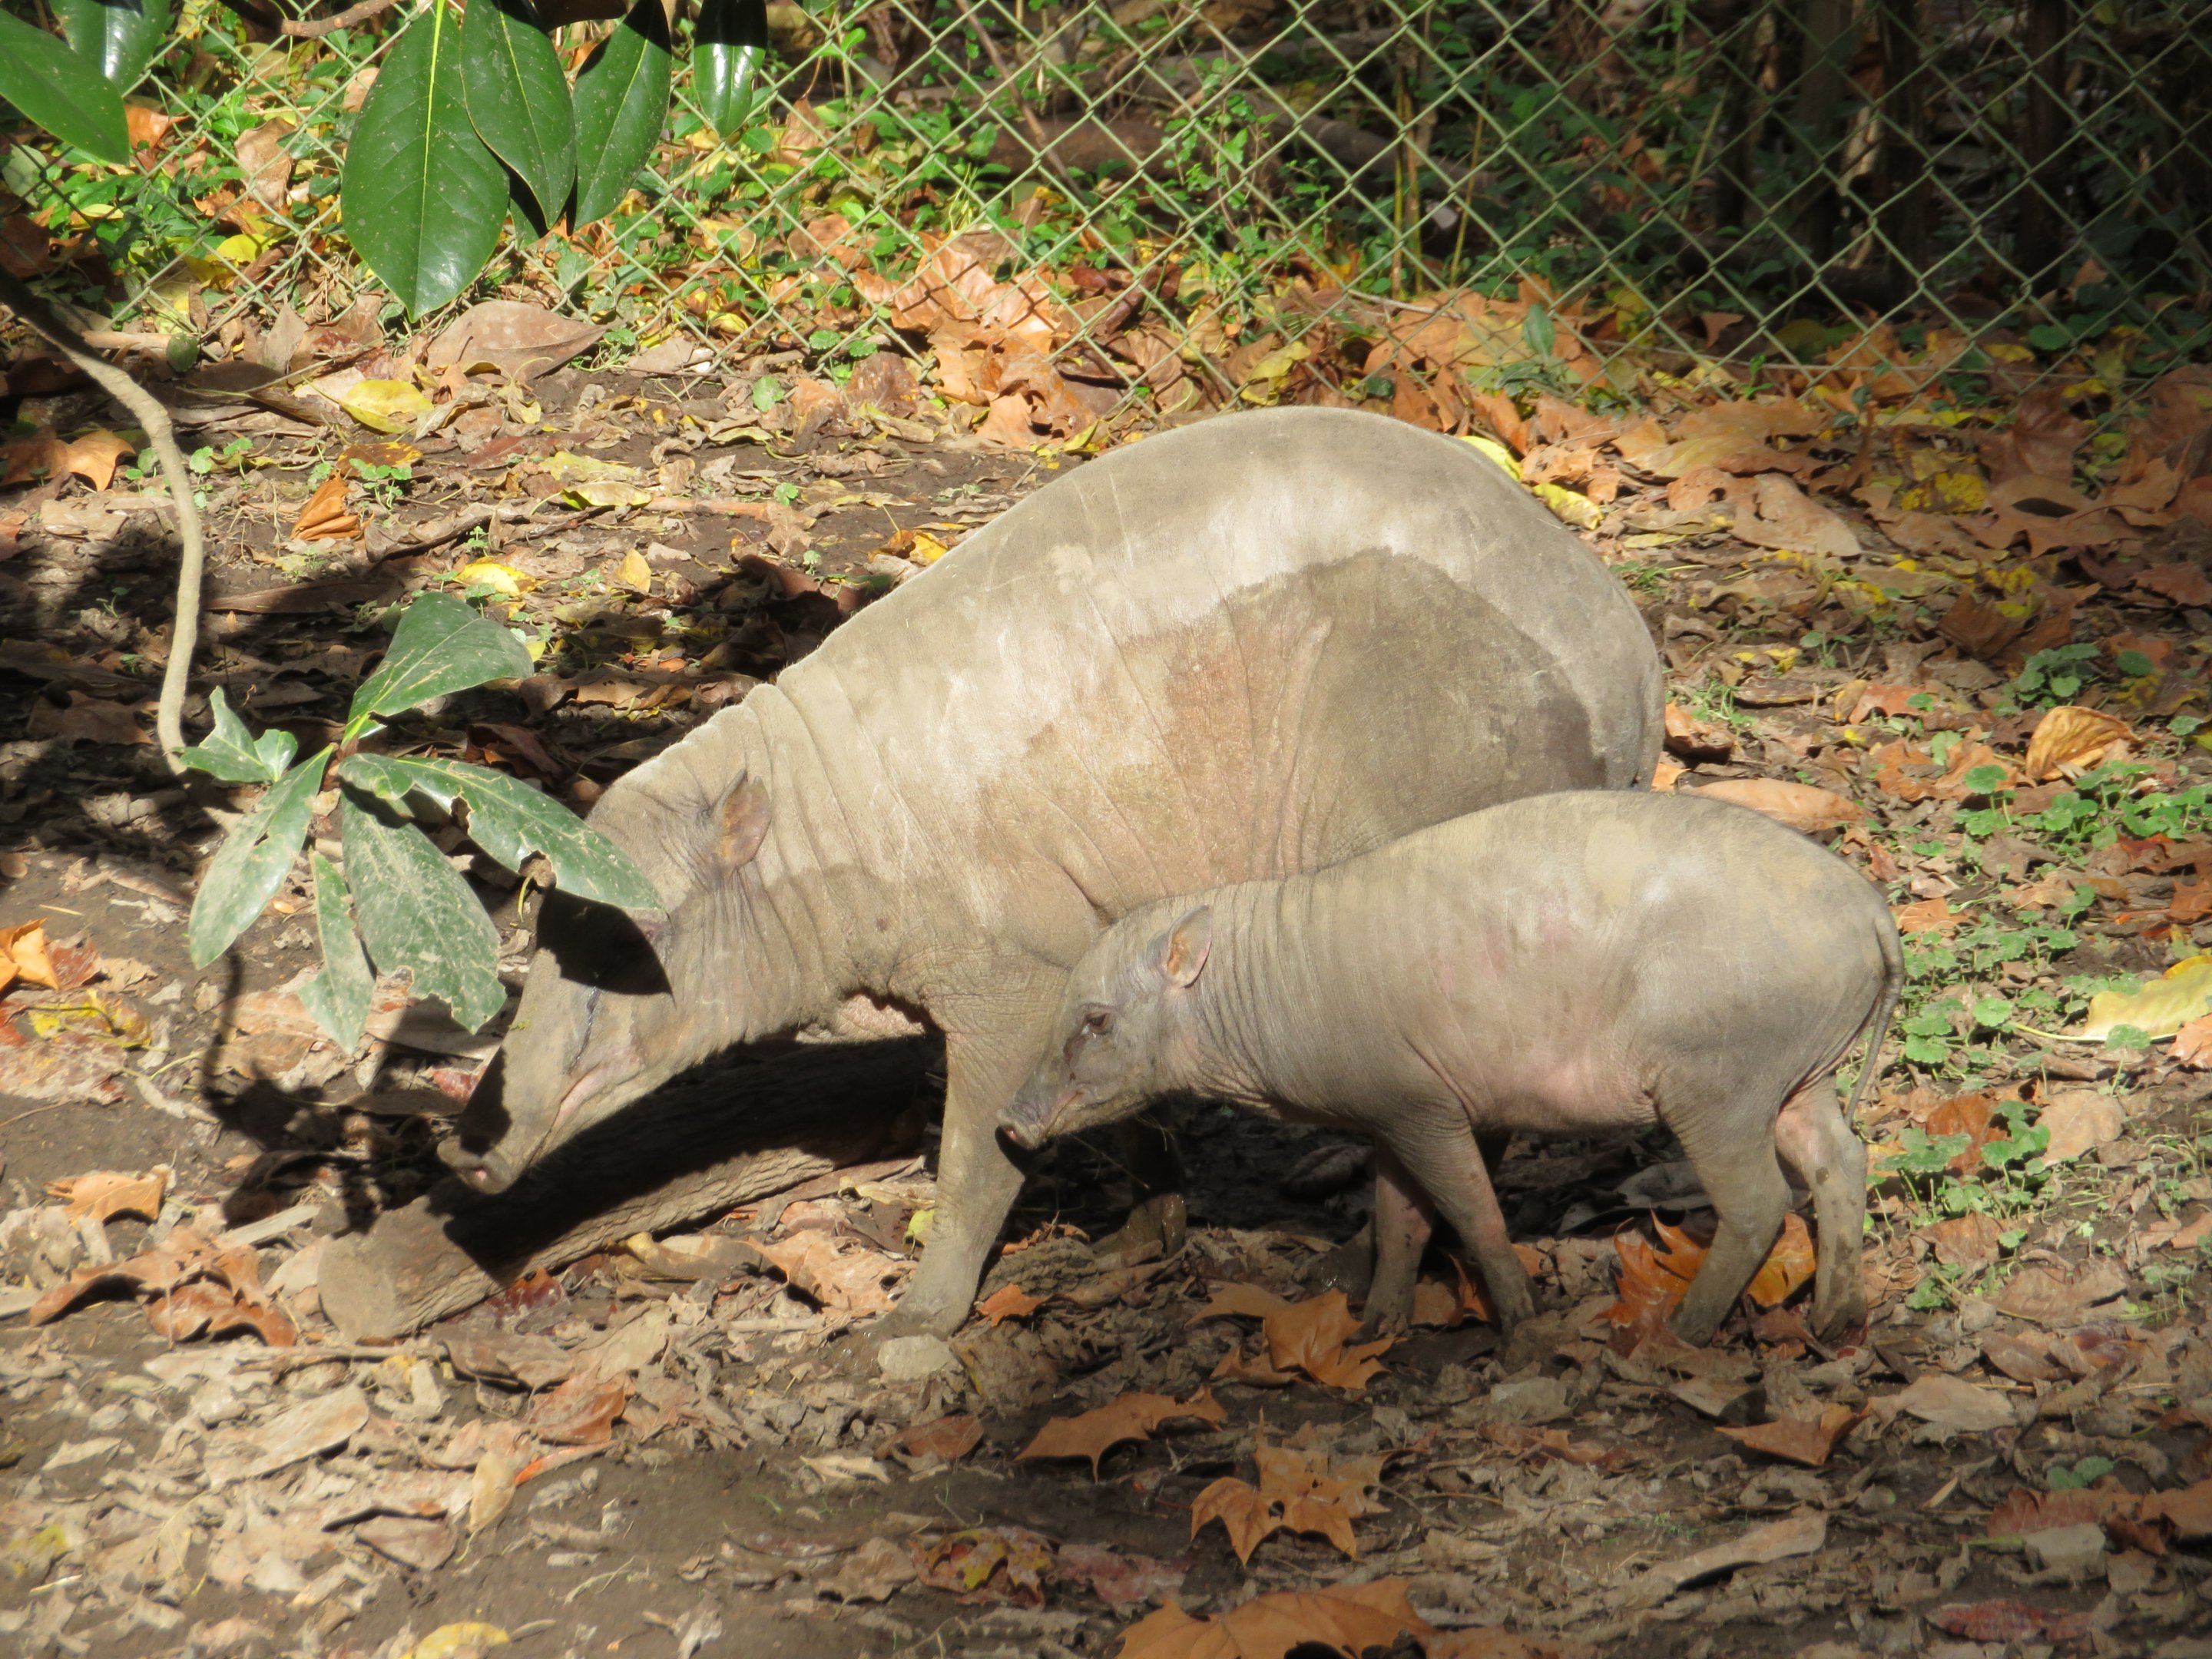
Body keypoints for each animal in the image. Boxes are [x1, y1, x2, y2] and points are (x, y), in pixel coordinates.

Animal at [439, 407, 1664, 1350]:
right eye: (541, 920)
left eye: (634, 953)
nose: (461, 1152)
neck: (817, 833)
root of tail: (1640, 668)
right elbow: (1111, 1101)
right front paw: (1139, 1242)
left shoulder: (1007, 974)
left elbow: (976, 1155)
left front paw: (912, 1326)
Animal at [999, 790, 1901, 1345]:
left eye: (1096, 1020)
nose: (1010, 1123)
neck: (1259, 988)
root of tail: (1873, 911)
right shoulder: (1387, 1113)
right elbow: (1402, 1219)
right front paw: (1376, 1329)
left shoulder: (1423, 1105)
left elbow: (1471, 1211)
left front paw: (1521, 1321)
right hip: (1799, 1074)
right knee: (1841, 1161)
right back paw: (1836, 1318)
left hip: (1718, 1082)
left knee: (1760, 1203)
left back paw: (1680, 1333)